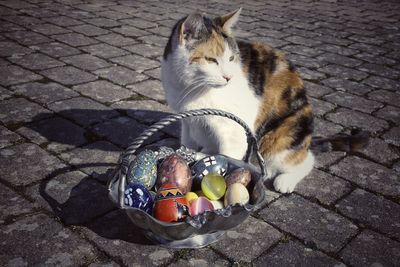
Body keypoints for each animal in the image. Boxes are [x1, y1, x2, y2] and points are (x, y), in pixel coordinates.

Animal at [161, 7, 368, 193]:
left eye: (231, 58)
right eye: (211, 60)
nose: (229, 77)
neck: (191, 88)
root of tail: (308, 140)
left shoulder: (233, 131)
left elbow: (228, 157)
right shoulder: (188, 121)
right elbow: (187, 142)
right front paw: (185, 157)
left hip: (280, 137)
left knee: (306, 160)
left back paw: (285, 181)